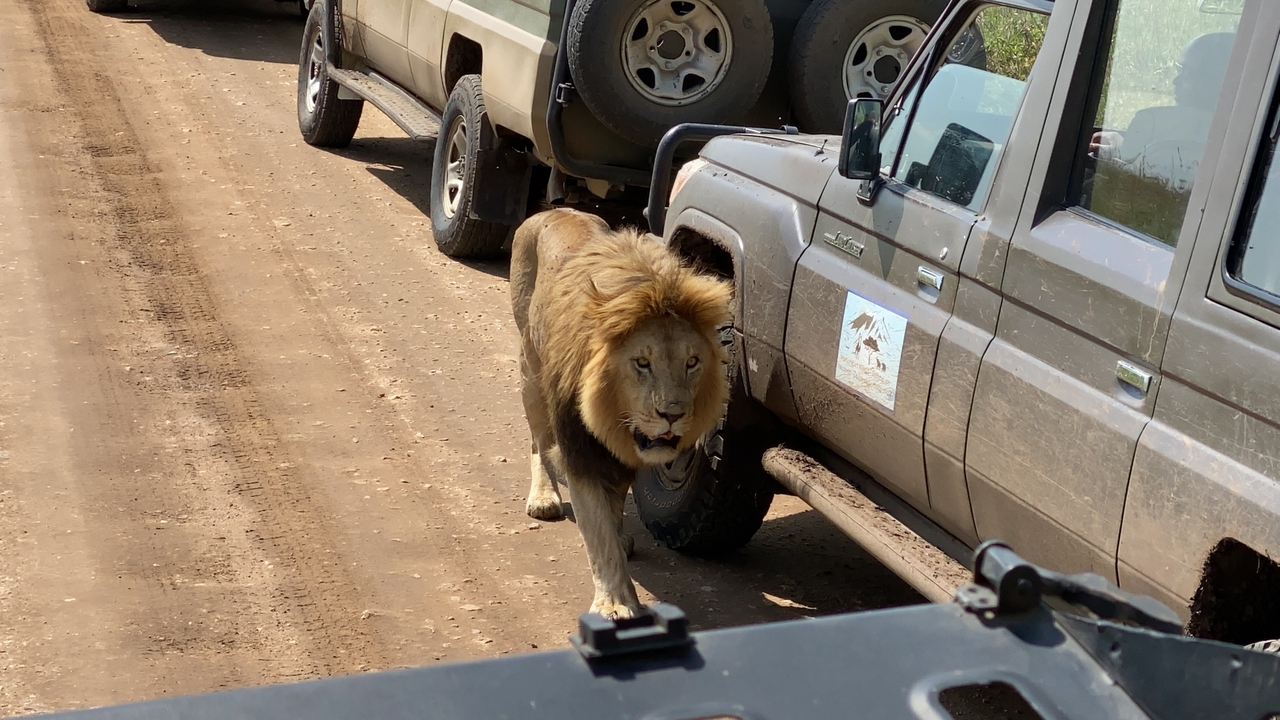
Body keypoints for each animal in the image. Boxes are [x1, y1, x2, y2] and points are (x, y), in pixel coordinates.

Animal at [510, 208, 732, 619]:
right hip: (530, 366)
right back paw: (544, 497)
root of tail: (554, 209)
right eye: (642, 363)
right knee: (538, 439)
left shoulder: (623, 456)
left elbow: (612, 513)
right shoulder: (580, 451)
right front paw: (615, 603)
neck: (612, 418)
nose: (673, 415)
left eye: (692, 362)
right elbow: (599, 534)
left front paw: (621, 538)